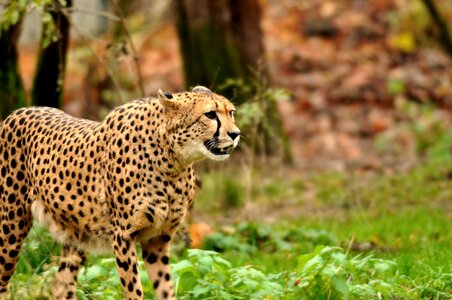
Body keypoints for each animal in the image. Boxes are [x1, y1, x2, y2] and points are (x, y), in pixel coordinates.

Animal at [0, 85, 240, 298]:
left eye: (231, 112)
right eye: (210, 114)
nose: (236, 134)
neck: (173, 162)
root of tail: (17, 112)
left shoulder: (158, 239)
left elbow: (165, 288)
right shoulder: (123, 236)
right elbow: (134, 289)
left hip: (76, 234)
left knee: (61, 286)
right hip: (10, 229)